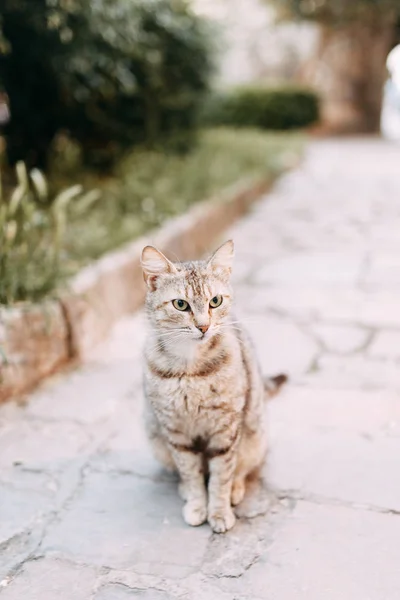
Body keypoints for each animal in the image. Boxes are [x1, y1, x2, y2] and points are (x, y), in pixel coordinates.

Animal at [141, 240, 288, 536]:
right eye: (181, 304)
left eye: (215, 301)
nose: (203, 326)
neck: (190, 369)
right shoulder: (176, 432)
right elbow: (191, 473)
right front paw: (198, 504)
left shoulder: (226, 430)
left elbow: (220, 476)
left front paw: (219, 511)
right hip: (156, 439)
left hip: (255, 433)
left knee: (241, 469)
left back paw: (236, 489)